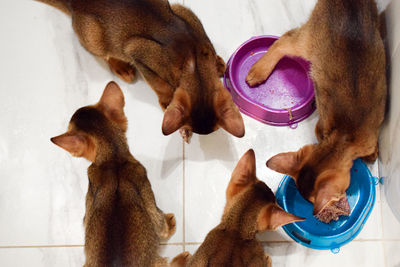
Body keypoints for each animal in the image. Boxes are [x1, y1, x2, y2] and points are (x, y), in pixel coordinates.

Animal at [35, 0, 244, 142]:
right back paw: (121, 67)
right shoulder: (139, 55)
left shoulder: (184, 13)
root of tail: (74, 3)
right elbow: (159, 85)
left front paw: (217, 63)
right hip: (94, 37)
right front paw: (167, 101)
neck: (195, 65)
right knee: (105, 53)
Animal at [245, 0, 386, 224]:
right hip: (309, 41)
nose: (319, 210)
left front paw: (372, 154)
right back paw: (259, 70)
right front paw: (372, 154)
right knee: (284, 41)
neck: (344, 137)